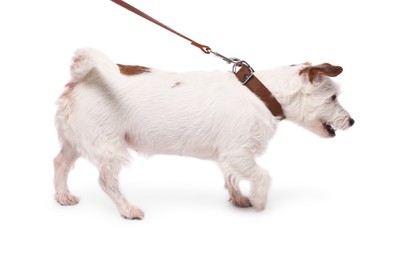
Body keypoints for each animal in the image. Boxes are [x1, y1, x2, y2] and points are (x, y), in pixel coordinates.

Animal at [53, 47, 354, 218]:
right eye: (333, 98)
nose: (352, 122)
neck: (261, 93)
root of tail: (83, 77)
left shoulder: (229, 156)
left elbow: (231, 177)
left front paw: (239, 199)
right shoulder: (239, 153)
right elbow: (262, 176)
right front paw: (259, 201)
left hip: (74, 142)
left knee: (60, 163)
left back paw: (62, 197)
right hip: (109, 147)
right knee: (106, 181)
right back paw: (128, 210)